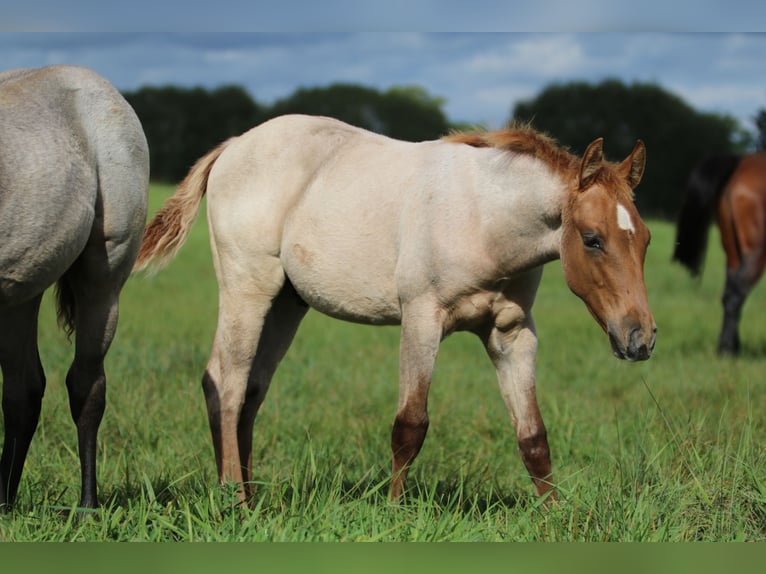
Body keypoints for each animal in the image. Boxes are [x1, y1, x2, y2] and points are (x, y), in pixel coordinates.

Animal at [0, 65, 149, 510]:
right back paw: (4, 501)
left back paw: (87, 507)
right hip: (20, 292)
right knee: (23, 393)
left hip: (102, 282)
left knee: (86, 387)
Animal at [135, 115, 656, 506]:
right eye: (592, 239)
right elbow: (410, 425)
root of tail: (233, 146)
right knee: (226, 383)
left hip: (286, 304)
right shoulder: (422, 319)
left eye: (647, 240)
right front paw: (393, 512)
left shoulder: (511, 333)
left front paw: (556, 519)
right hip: (247, 288)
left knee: (250, 392)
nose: (640, 339)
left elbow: (533, 437)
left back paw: (249, 494)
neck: (484, 218)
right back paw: (235, 502)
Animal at [676, 151, 764, 356]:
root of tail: (741, 161)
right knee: (736, 293)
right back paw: (727, 349)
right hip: (756, 250)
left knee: (729, 292)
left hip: (733, 252)